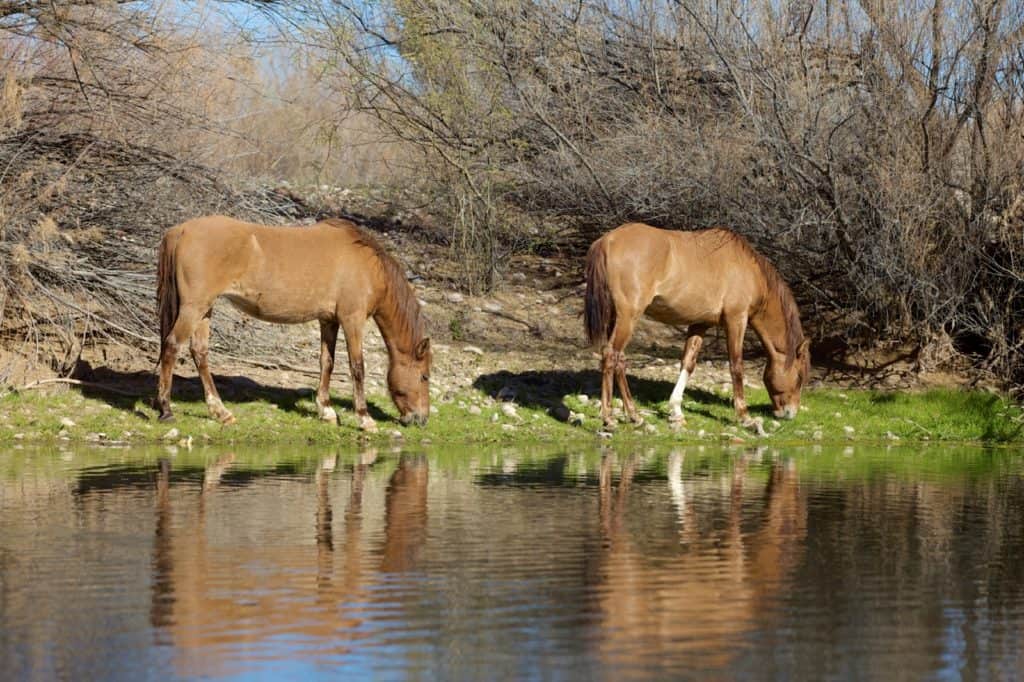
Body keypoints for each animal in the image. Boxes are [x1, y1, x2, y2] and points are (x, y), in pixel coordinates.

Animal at [154, 215, 431, 432]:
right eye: (424, 376)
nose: (421, 419)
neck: (366, 264)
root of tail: (180, 230)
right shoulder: (352, 319)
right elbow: (357, 368)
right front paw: (365, 419)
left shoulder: (328, 321)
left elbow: (327, 363)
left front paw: (326, 411)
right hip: (194, 308)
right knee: (171, 346)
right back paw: (166, 410)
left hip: (204, 310)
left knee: (199, 353)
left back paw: (221, 412)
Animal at [584, 223, 810, 429]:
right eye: (799, 377)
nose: (790, 413)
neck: (747, 269)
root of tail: (607, 241)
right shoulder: (736, 320)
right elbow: (736, 366)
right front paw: (744, 417)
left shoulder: (700, 324)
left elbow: (688, 363)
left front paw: (676, 411)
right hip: (629, 316)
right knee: (611, 355)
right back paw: (608, 418)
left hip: (618, 317)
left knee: (620, 360)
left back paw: (634, 415)